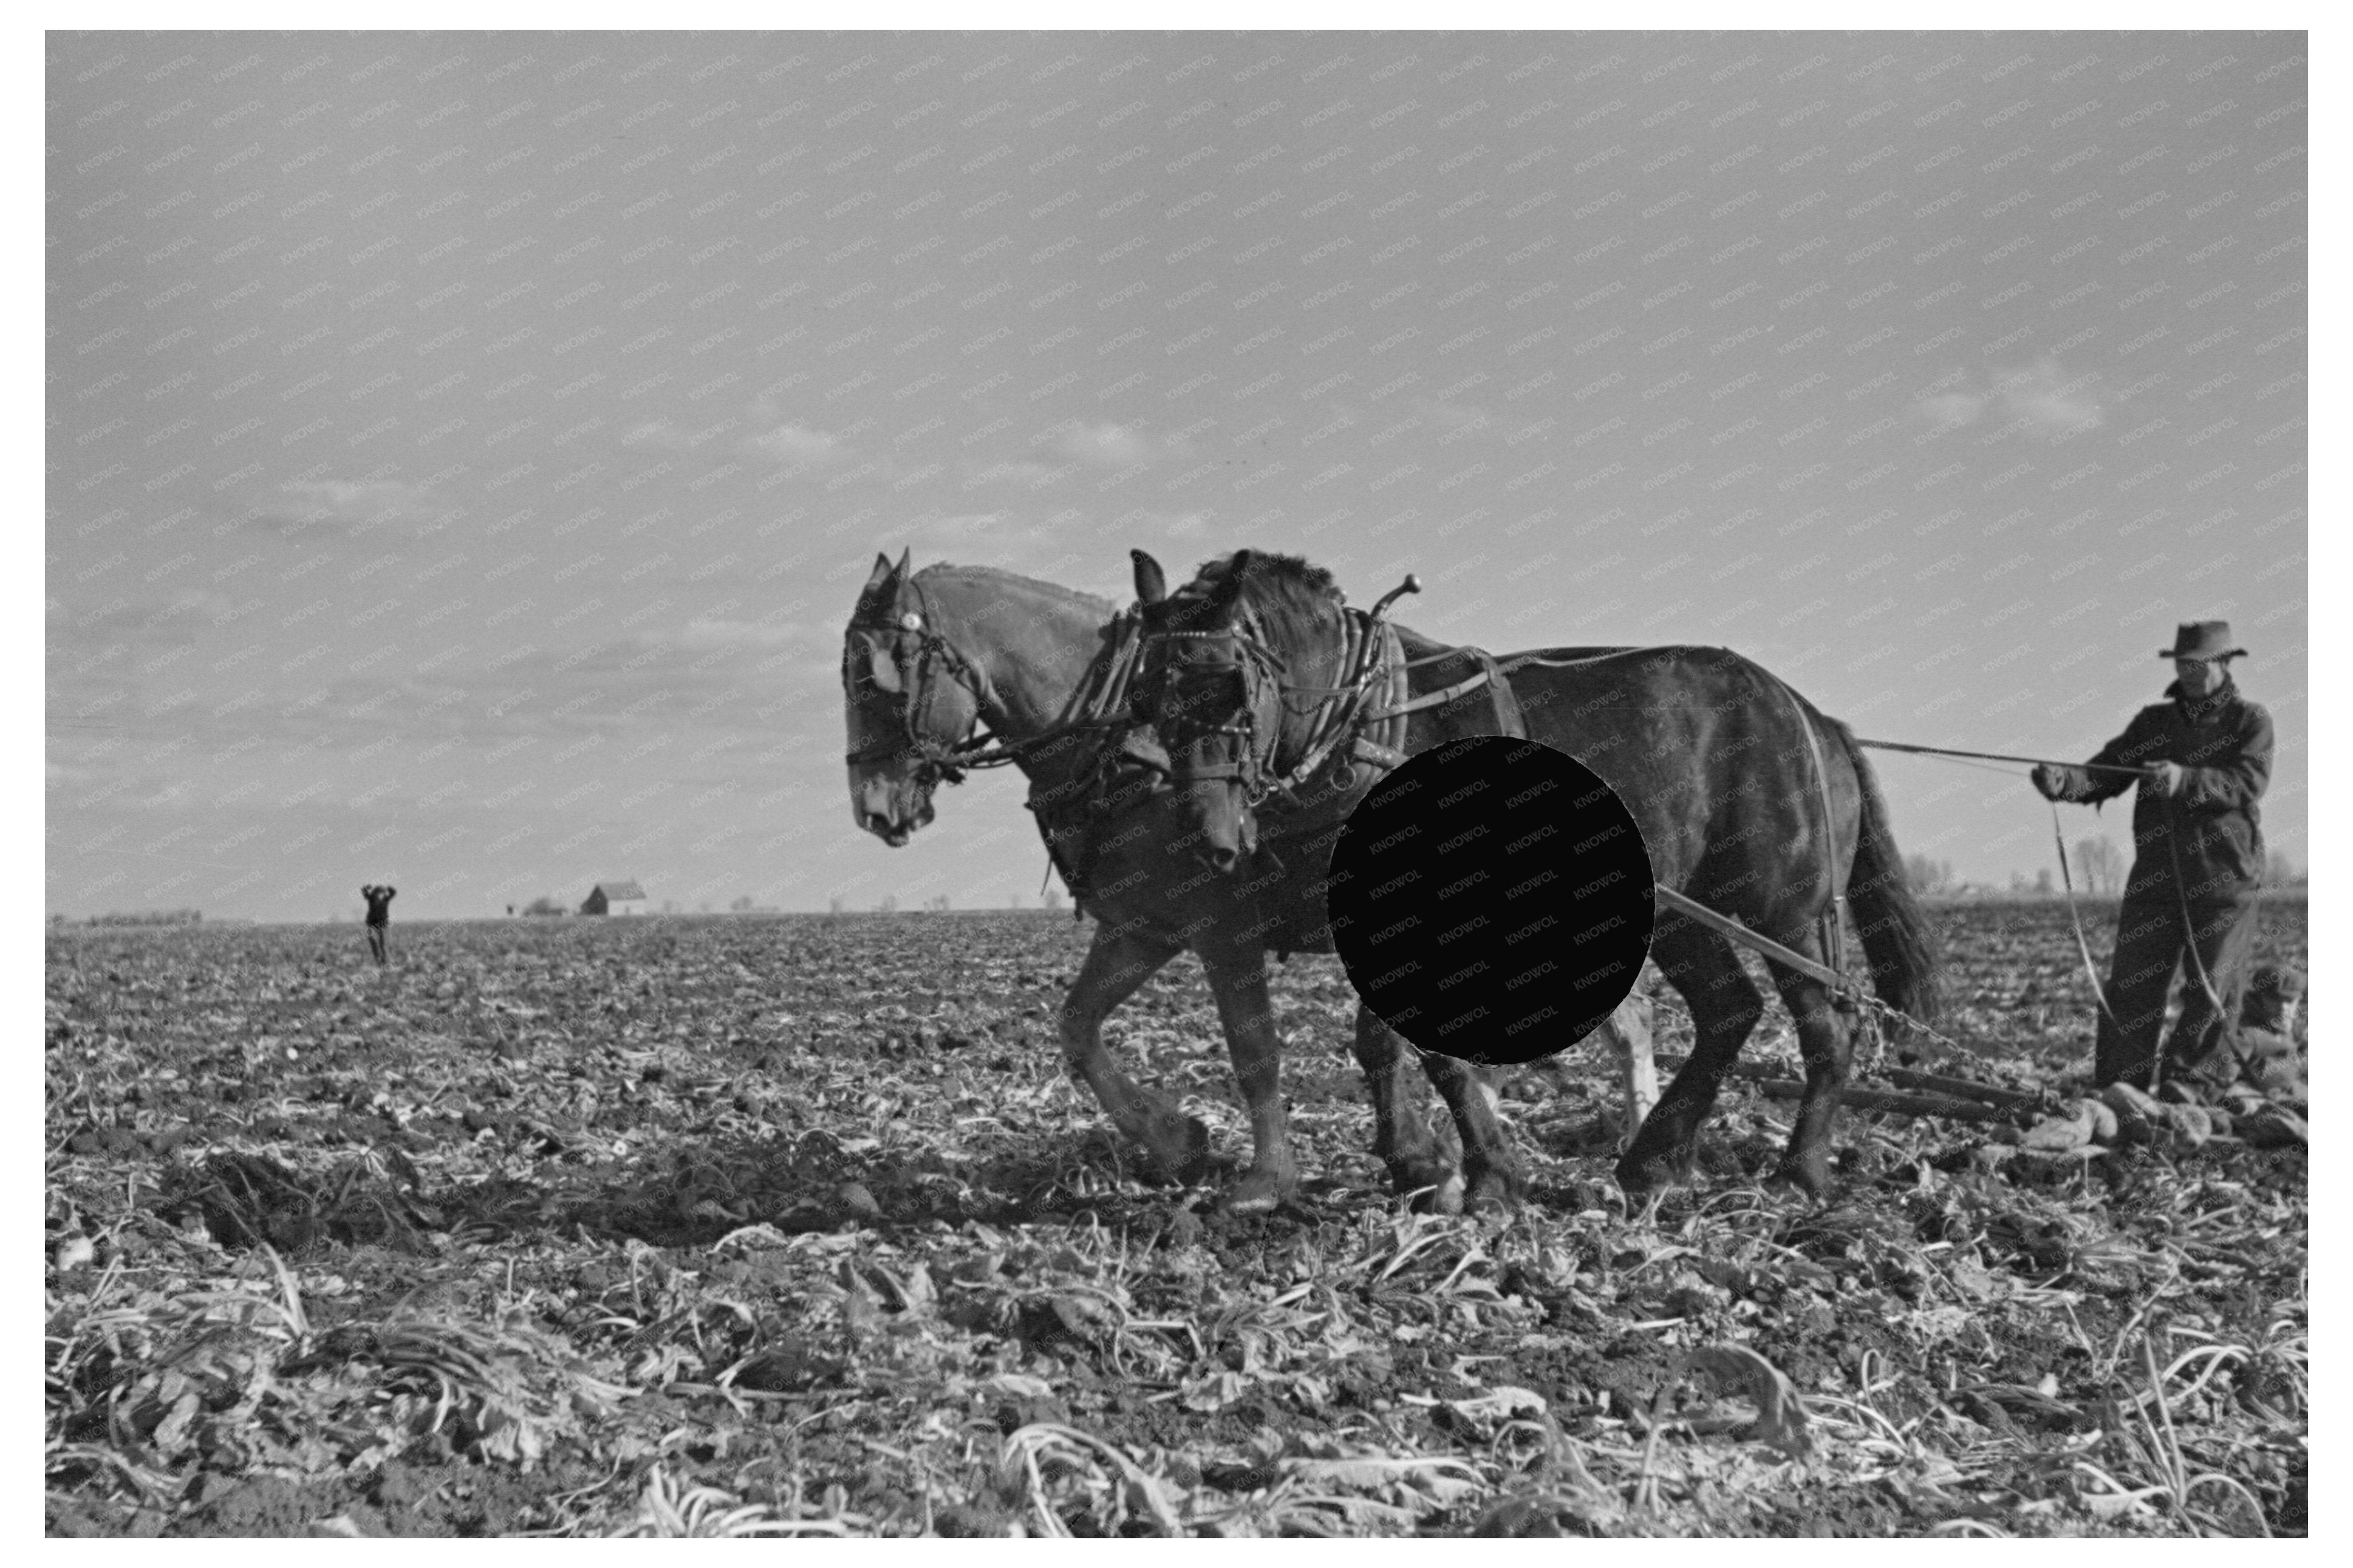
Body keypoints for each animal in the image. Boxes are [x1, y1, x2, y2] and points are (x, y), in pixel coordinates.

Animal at [847, 548, 1600, 1205]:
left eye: (876, 678)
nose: (872, 807)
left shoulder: (1225, 927)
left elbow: (1257, 1048)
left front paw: (1272, 1178)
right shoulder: (1143, 926)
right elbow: (1078, 1025)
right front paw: (1176, 1139)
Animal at [1129, 548, 1939, 1196]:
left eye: (1231, 686)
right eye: (1145, 695)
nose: (1203, 836)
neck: (1371, 722)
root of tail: (1809, 714)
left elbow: (1428, 1051)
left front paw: (1483, 1174)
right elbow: (1380, 1043)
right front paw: (1418, 1161)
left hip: (1789, 908)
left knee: (1828, 1025)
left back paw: (1800, 1173)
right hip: (1680, 907)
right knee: (1729, 1010)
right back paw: (1654, 1162)